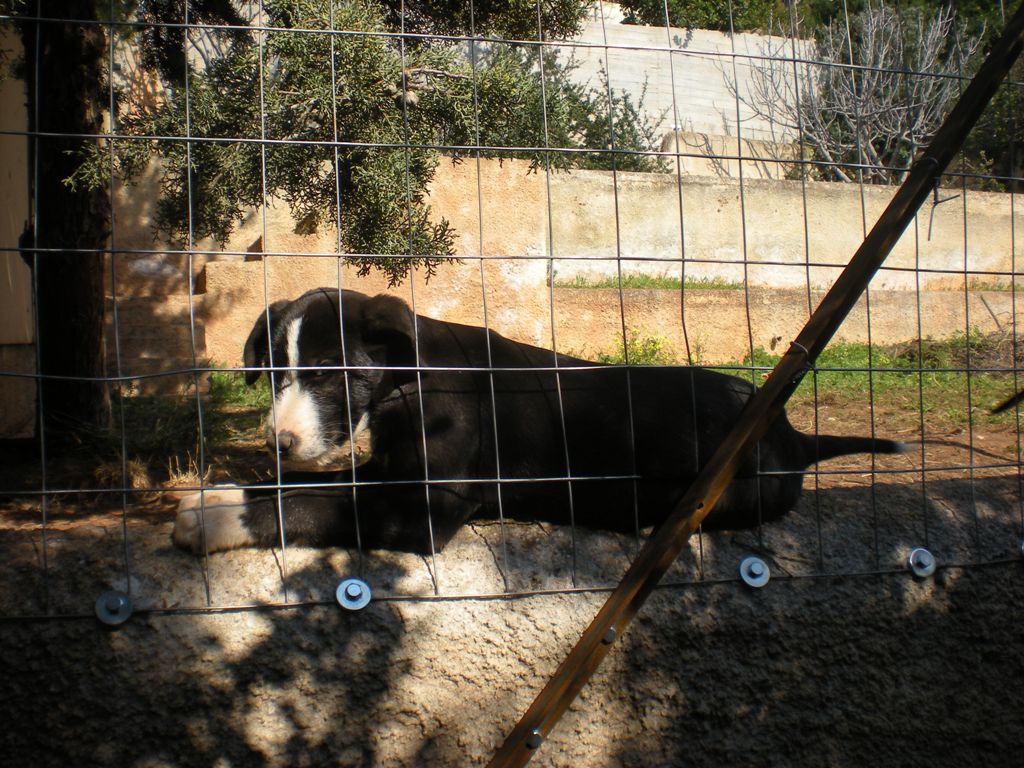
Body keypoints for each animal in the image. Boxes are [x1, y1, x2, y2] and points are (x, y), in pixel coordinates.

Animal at [172, 288, 906, 555]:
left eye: (329, 372)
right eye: (275, 372)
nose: (280, 442)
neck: (407, 381)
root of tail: (793, 434)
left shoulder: (419, 506)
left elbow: (323, 503)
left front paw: (220, 517)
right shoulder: (388, 471)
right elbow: (322, 484)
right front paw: (228, 495)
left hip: (732, 482)